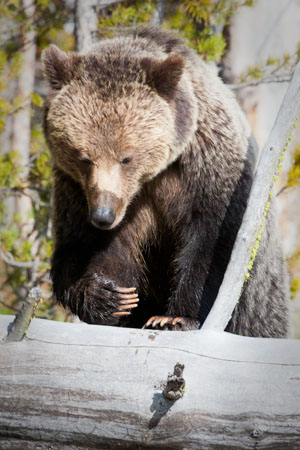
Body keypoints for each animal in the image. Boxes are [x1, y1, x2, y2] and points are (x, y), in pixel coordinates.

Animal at [41, 26, 288, 336]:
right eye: (84, 157)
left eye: (126, 158)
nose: (103, 215)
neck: (154, 175)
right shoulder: (75, 191)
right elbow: (82, 248)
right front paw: (110, 296)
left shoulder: (209, 170)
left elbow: (211, 245)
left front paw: (174, 318)